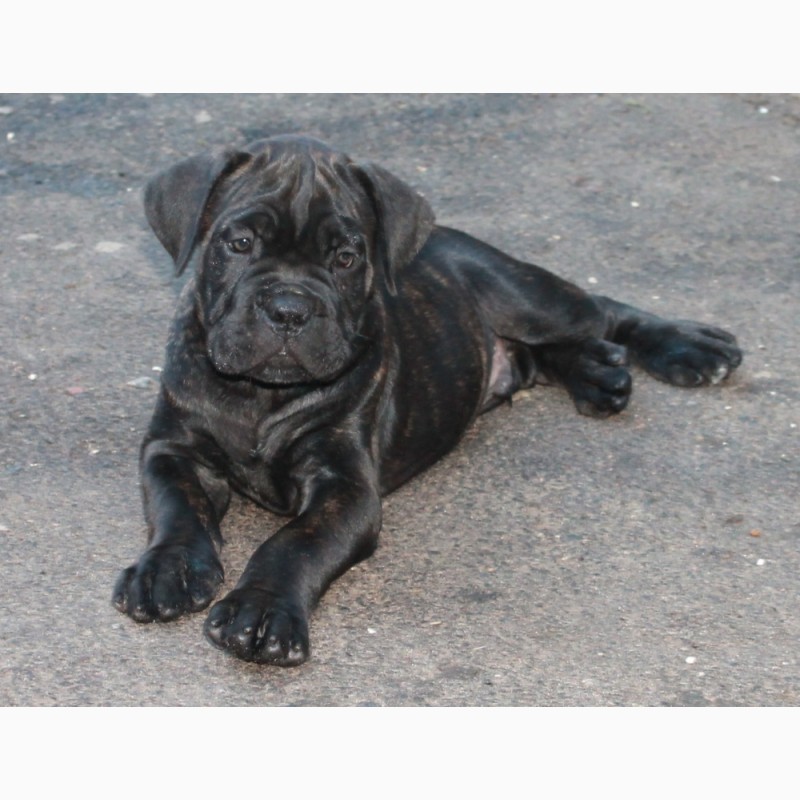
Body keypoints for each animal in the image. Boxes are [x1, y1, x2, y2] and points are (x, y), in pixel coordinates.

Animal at [112, 134, 744, 664]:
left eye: (347, 258)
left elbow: (292, 543)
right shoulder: (171, 449)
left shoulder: (346, 488)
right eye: (239, 243)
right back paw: (597, 375)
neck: (258, 395)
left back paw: (688, 347)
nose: (289, 308)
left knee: (601, 308)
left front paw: (262, 609)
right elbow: (177, 509)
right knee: (543, 356)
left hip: (527, 296)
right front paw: (164, 571)